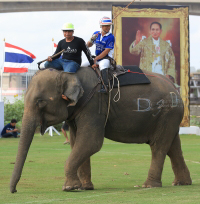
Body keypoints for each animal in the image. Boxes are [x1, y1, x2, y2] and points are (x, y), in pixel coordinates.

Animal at [10, 67, 191, 193]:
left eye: (40, 101)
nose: (14, 190)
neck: (68, 72)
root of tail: (174, 86)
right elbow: (77, 143)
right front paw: (84, 188)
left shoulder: (94, 105)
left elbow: (91, 142)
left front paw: (69, 188)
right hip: (170, 115)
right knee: (173, 146)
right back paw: (182, 183)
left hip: (168, 111)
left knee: (158, 146)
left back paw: (149, 186)